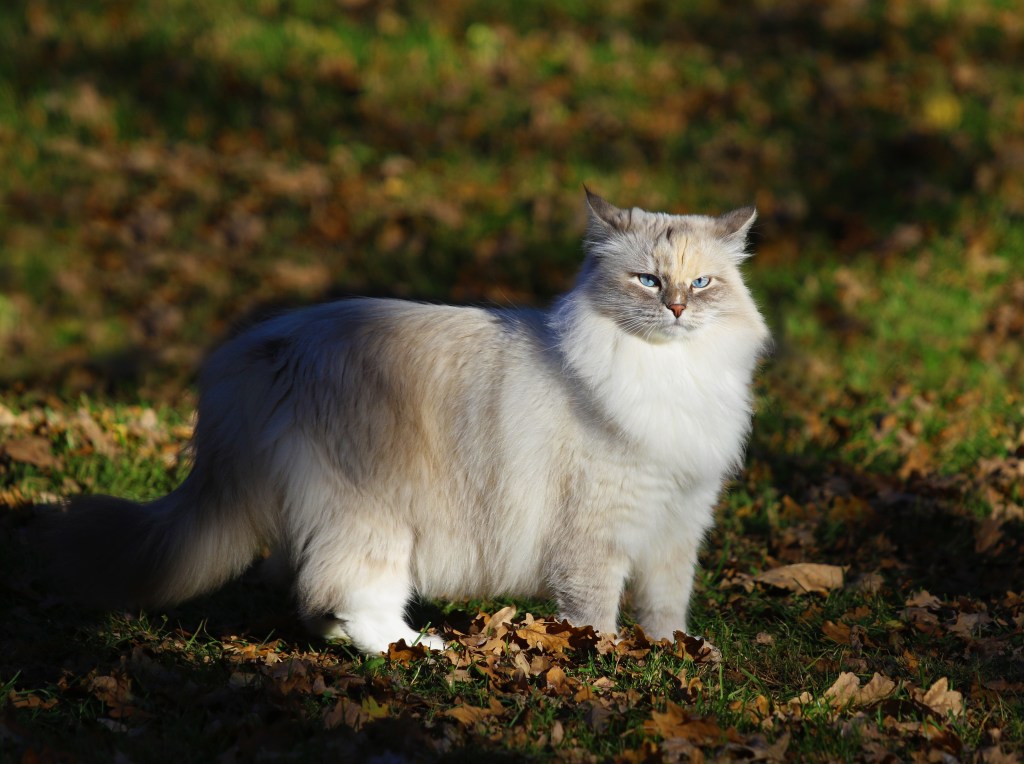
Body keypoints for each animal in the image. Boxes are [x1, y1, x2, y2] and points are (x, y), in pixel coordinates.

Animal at [44, 189, 770, 647]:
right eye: (647, 281)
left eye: (701, 284)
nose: (677, 308)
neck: (668, 376)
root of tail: (268, 346)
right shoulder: (598, 535)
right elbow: (595, 618)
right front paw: (612, 663)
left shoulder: (677, 524)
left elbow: (665, 612)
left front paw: (675, 656)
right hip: (378, 523)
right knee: (343, 597)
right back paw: (421, 648)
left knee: (309, 600)